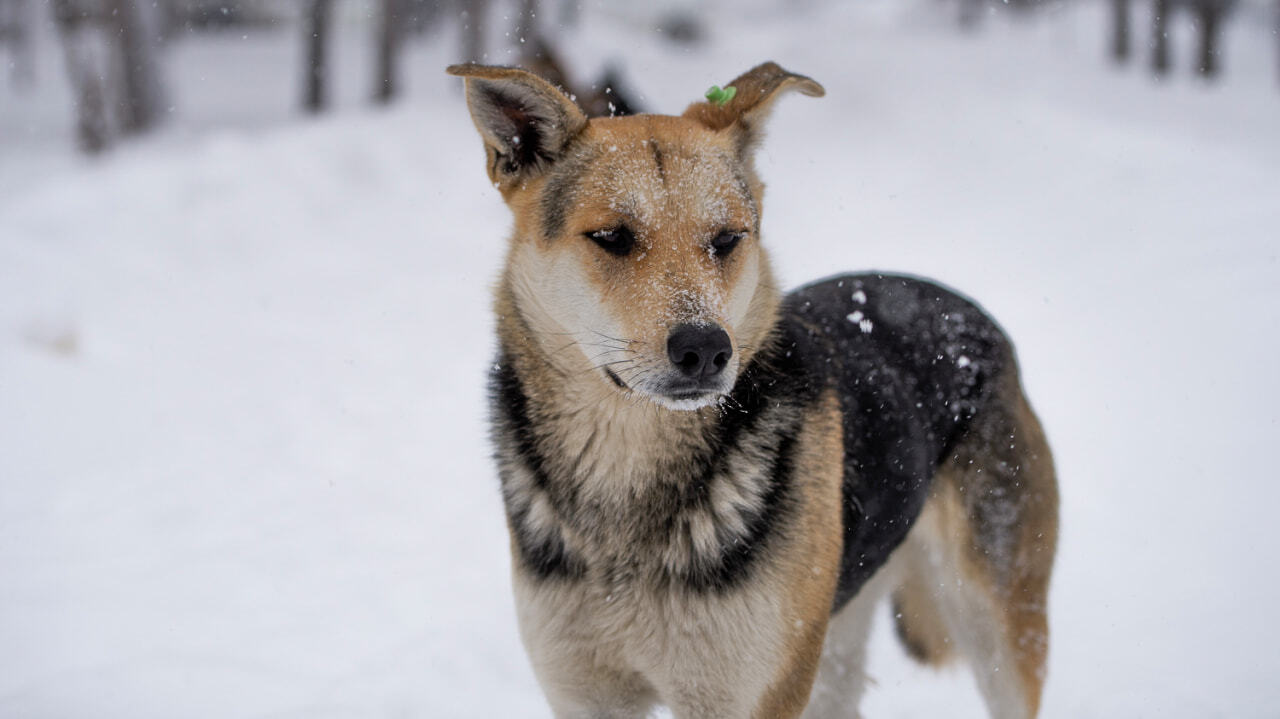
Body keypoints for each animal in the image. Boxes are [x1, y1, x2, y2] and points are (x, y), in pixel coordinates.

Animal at [448, 63, 1059, 716]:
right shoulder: (586, 693)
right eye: (612, 236)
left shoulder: (748, 693)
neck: (628, 472)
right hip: (836, 634)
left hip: (995, 625)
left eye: (726, 239)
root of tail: (969, 315)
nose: (706, 348)